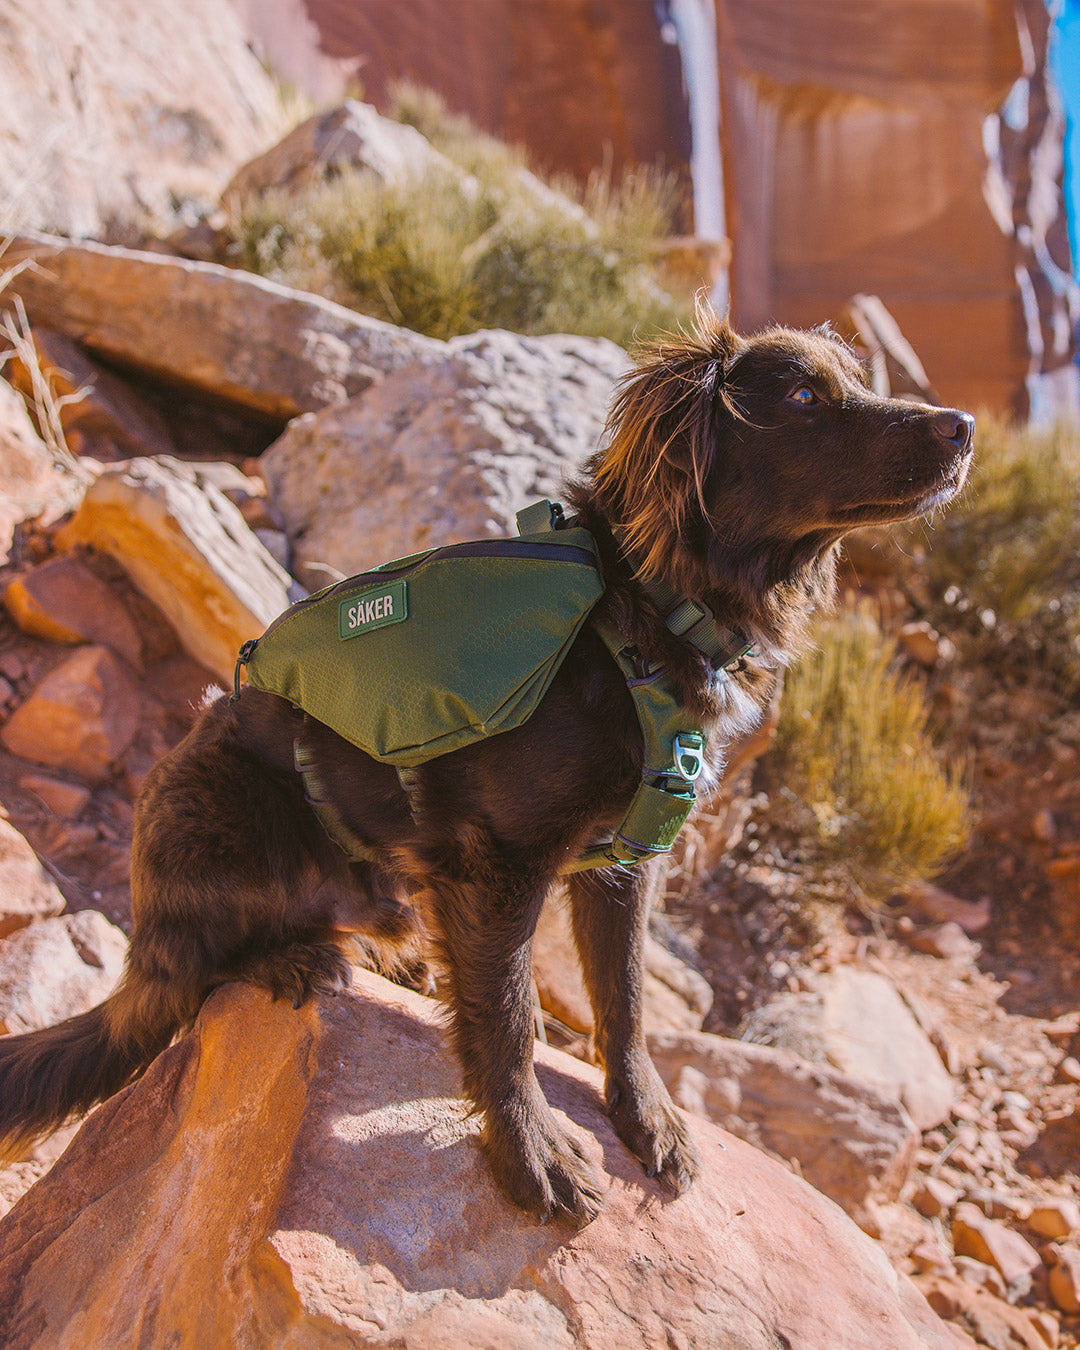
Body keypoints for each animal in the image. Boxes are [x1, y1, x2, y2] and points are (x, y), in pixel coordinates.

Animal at [0, 315, 972, 1225]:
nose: (963, 425)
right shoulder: (497, 861)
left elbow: (624, 1000)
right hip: (221, 802)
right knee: (194, 968)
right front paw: (531, 1152)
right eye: (805, 397)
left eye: (855, 381)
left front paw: (646, 1115)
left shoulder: (625, 862)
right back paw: (293, 959)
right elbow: (504, 1022)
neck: (646, 615)